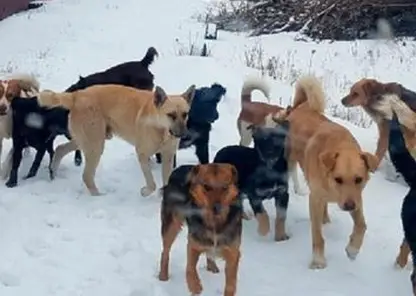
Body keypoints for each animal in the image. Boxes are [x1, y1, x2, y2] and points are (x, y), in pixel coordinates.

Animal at [36, 83, 194, 197]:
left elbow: (166, 179)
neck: (160, 126)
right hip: (95, 145)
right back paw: (98, 196)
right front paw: (145, 192)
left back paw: (54, 172)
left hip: (88, 140)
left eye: (185, 114)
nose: (185, 135)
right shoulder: (142, 154)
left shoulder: (168, 156)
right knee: (86, 176)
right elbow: (152, 183)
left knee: (60, 149)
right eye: (171, 115)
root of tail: (77, 95)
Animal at [158, 164, 244, 296]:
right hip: (171, 225)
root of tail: (179, 168)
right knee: (165, 251)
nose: (217, 208)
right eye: (206, 186)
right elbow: (189, 269)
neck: (214, 223)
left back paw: (212, 266)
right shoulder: (193, 245)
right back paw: (163, 276)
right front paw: (195, 287)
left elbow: (231, 283)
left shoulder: (233, 252)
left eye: (225, 187)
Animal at [284, 75, 378, 270]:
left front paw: (353, 249)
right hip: (290, 157)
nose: (348, 206)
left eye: (359, 179)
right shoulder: (315, 199)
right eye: (338, 179)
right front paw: (318, 261)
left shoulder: (357, 198)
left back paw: (326, 218)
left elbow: (362, 225)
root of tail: (301, 106)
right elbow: (318, 236)